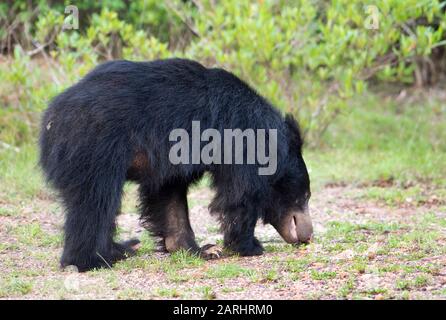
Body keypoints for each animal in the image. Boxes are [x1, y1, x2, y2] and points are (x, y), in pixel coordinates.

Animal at [39, 58, 314, 272]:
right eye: (304, 196)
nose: (308, 235)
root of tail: (51, 118)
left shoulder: (171, 162)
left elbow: (168, 197)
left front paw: (199, 250)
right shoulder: (240, 140)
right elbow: (241, 194)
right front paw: (250, 246)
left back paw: (123, 248)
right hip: (95, 148)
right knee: (95, 201)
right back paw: (99, 258)